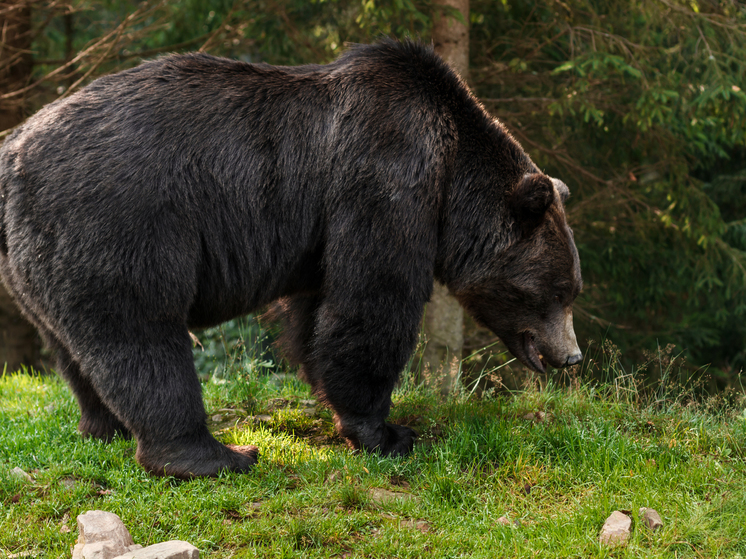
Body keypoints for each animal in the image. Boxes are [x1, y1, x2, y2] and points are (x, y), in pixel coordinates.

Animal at [0, 39, 580, 480]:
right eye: (558, 290)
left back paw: (106, 427)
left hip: (35, 257)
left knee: (73, 347)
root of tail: (13, 151)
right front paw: (388, 432)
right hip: (120, 218)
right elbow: (372, 303)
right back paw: (217, 455)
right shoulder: (386, 178)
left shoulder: (324, 232)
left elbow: (318, 313)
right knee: (142, 333)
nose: (572, 356)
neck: (451, 178)